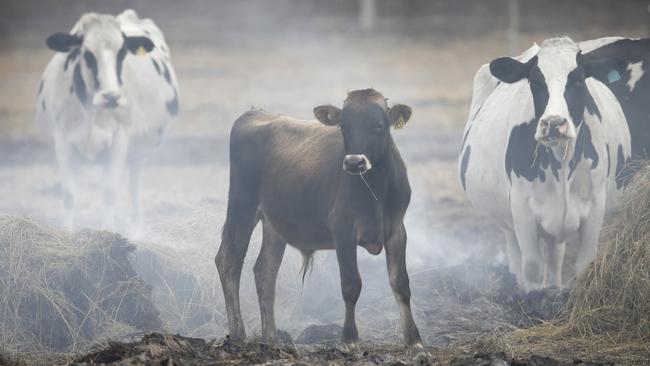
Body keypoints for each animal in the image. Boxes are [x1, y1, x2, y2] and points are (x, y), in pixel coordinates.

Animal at [35, 10, 177, 232]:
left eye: (123, 53)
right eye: (87, 54)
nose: (111, 97)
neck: (92, 109)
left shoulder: (120, 138)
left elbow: (110, 191)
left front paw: (108, 232)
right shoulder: (62, 139)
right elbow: (69, 192)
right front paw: (67, 231)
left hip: (140, 152)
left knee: (134, 187)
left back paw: (137, 230)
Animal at [456, 35, 628, 290]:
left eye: (578, 80)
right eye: (534, 82)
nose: (554, 123)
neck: (561, 164)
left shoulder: (596, 204)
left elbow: (584, 265)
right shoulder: (521, 209)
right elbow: (533, 267)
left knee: (555, 257)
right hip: (508, 219)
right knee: (516, 254)